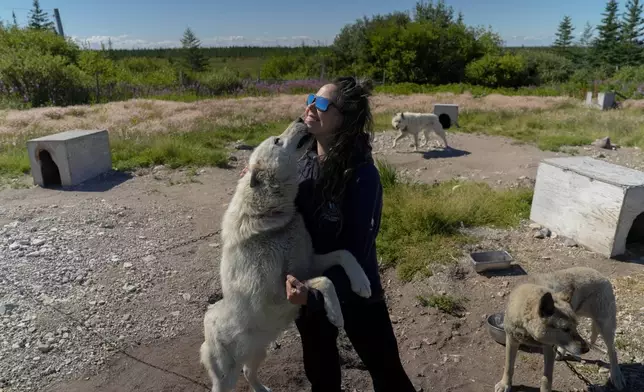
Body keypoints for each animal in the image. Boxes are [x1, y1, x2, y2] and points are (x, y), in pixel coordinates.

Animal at [200, 118, 372, 392]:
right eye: (277, 141)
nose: (301, 119)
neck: (272, 219)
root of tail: (206, 327)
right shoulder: (277, 292)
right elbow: (326, 280)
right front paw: (335, 314)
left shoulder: (310, 262)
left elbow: (344, 254)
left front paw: (361, 283)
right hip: (225, 376)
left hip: (259, 351)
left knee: (249, 372)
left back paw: (262, 389)